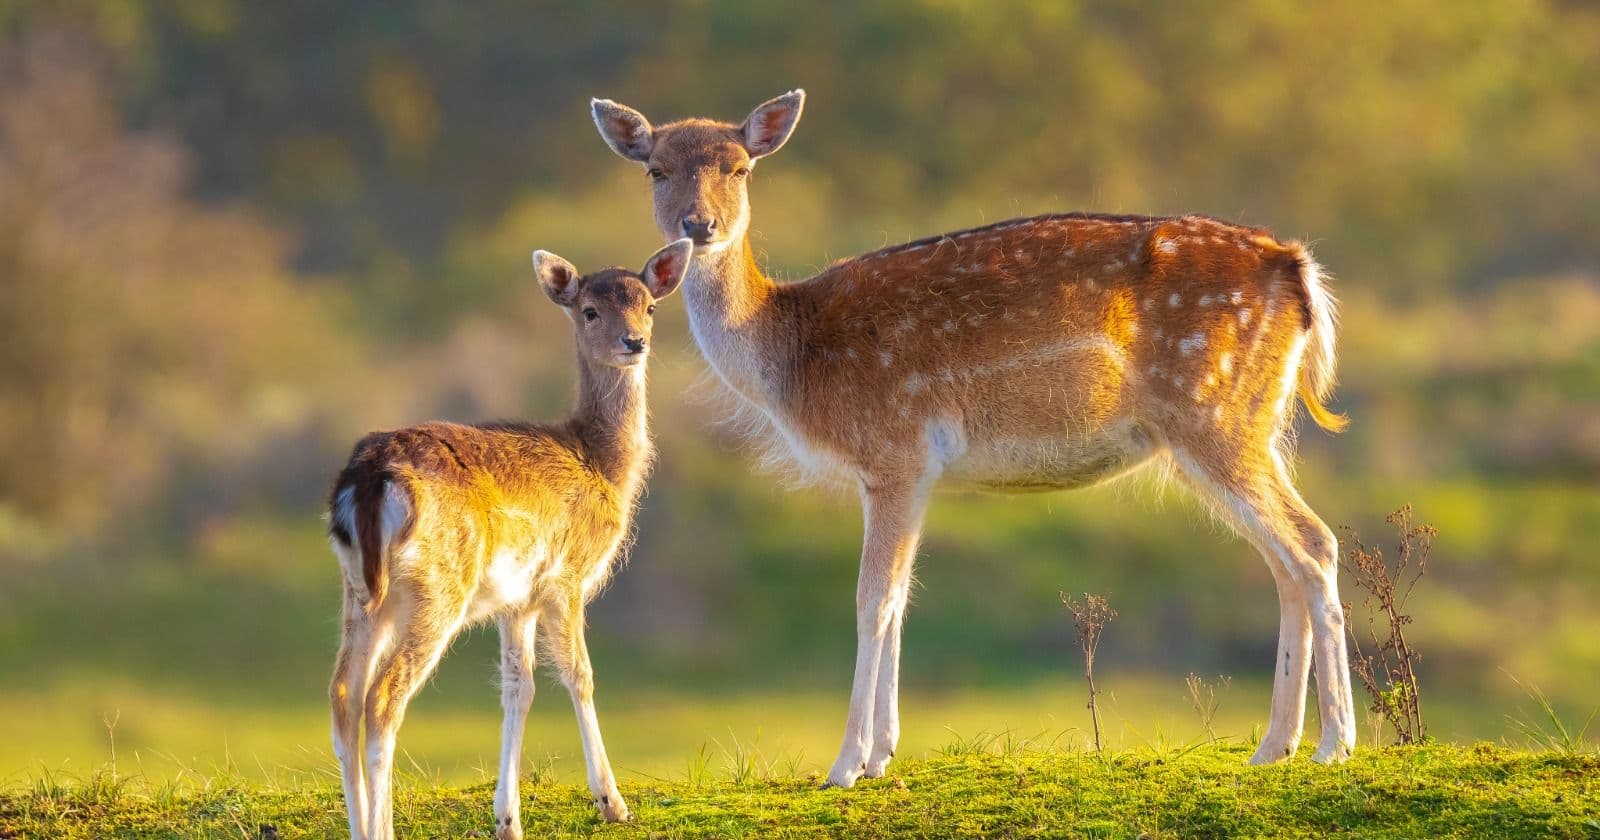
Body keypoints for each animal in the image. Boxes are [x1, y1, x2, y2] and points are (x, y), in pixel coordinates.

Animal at [325, 239, 693, 839]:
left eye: (650, 306)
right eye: (590, 310)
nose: (634, 342)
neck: (603, 466)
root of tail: (369, 478)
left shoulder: (516, 600)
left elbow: (518, 689)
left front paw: (508, 818)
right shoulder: (566, 578)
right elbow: (580, 675)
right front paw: (612, 802)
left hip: (360, 588)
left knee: (343, 696)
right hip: (439, 587)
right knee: (382, 700)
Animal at [591, 90, 1358, 787]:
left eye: (741, 166)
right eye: (655, 169)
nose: (700, 225)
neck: (793, 357)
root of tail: (1299, 270)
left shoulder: (893, 452)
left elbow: (872, 600)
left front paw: (844, 765)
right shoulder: (915, 471)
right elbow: (902, 599)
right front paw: (883, 754)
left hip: (1216, 415)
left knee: (1315, 542)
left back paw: (1335, 744)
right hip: (1247, 424)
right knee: (1285, 558)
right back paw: (1274, 746)